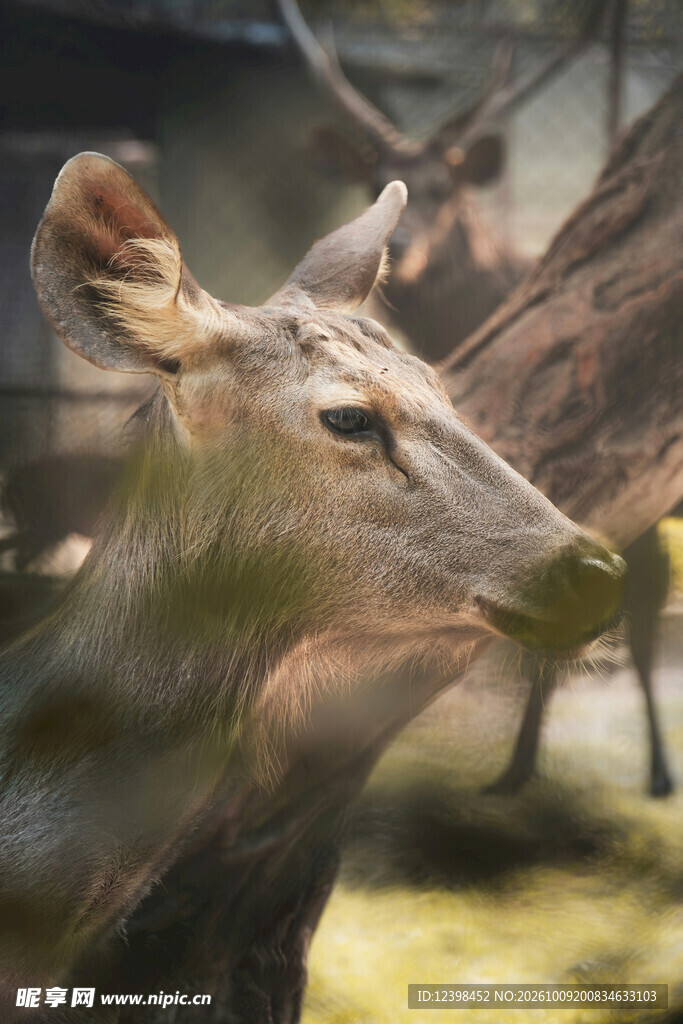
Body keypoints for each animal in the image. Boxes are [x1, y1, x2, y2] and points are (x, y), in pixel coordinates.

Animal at [277, 0, 677, 798]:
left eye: (447, 187)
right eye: (376, 180)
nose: (406, 247)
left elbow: (629, 608)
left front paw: (646, 771)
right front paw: (519, 765)